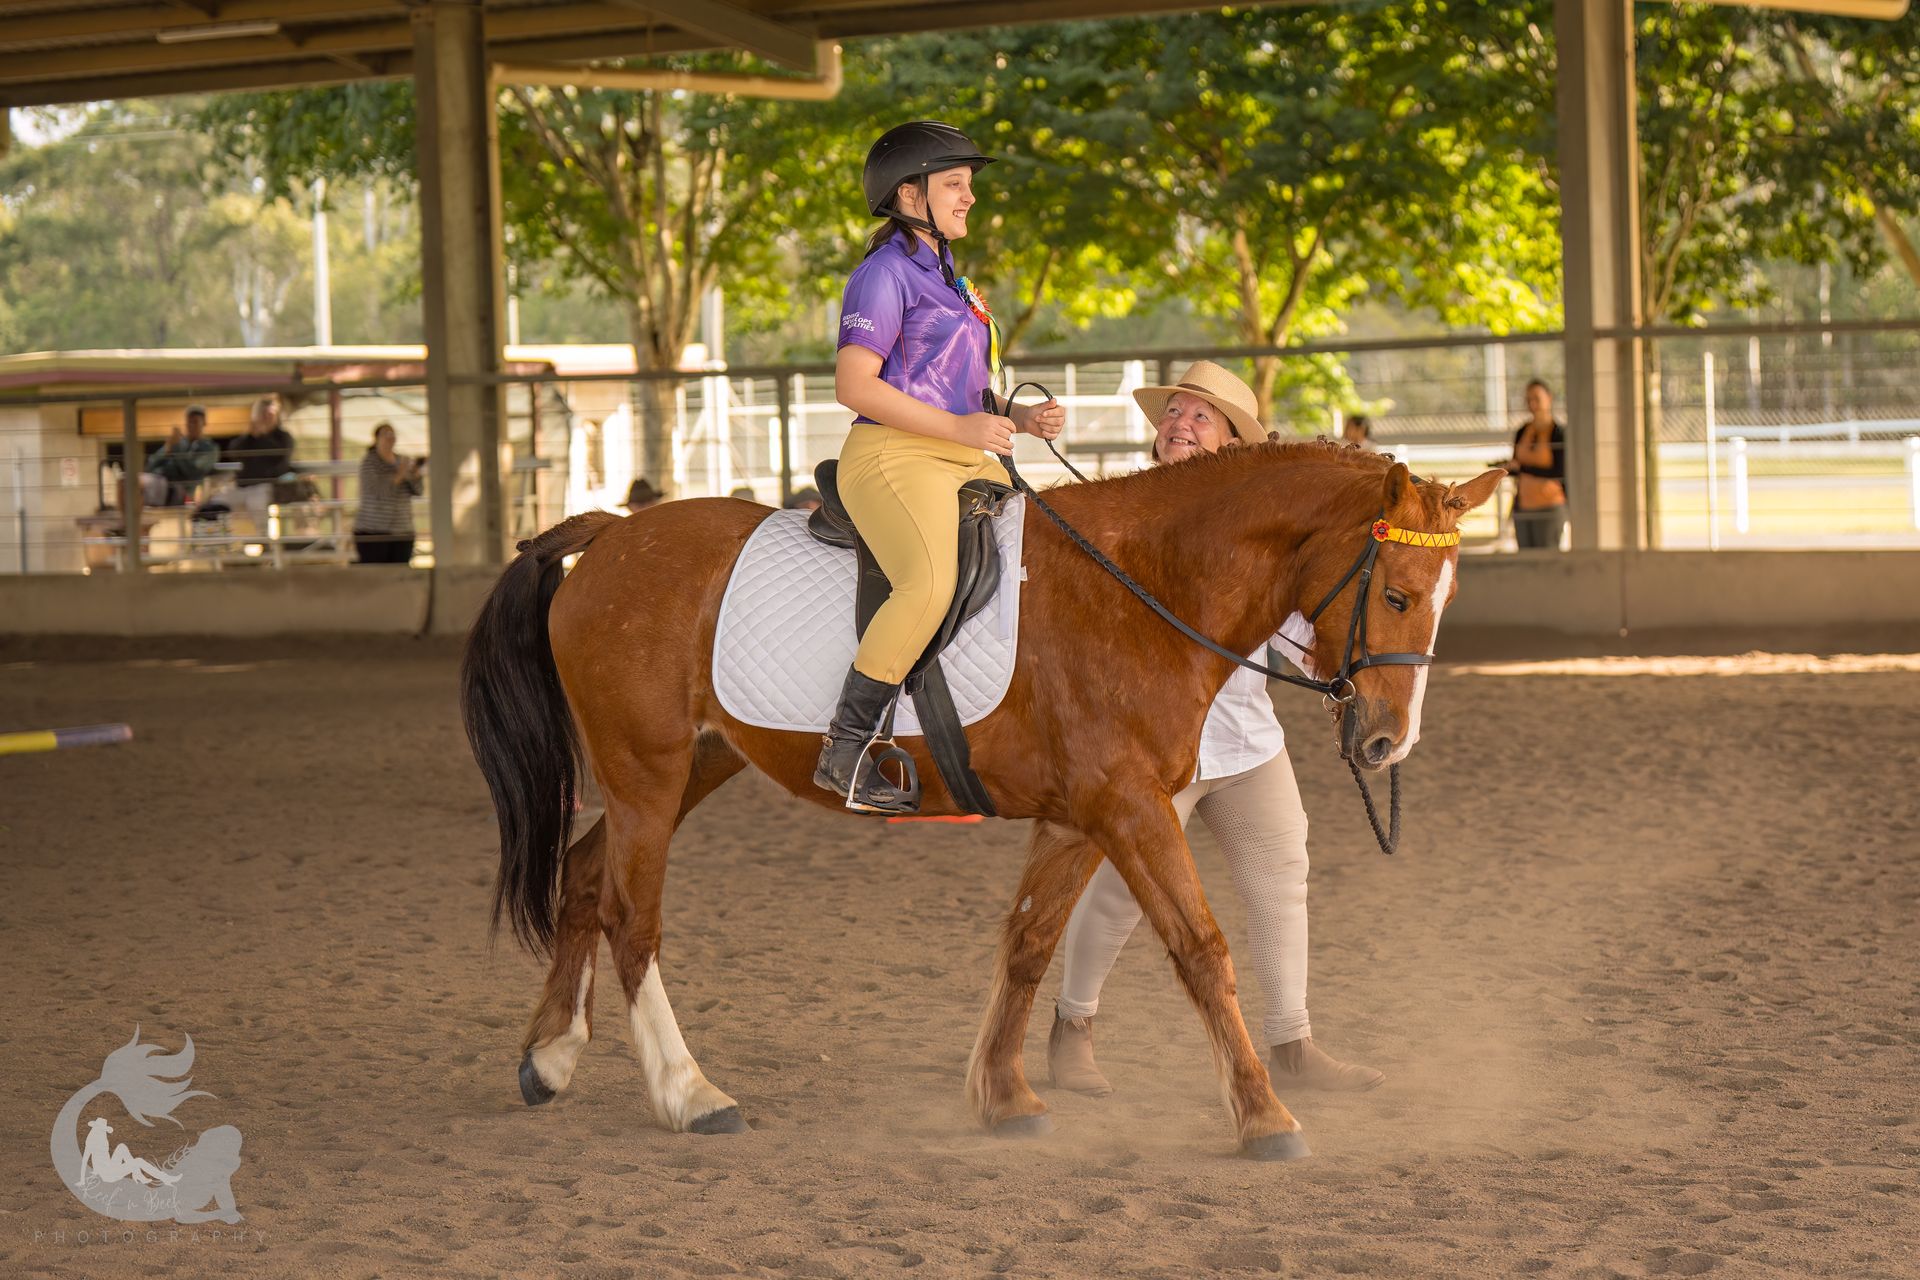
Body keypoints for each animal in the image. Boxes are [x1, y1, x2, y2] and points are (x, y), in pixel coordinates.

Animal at [461, 440, 1505, 1158]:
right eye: (1399, 596)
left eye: (1447, 597)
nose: (1386, 741)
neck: (1143, 587)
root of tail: (608, 532)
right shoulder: (1130, 807)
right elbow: (1202, 950)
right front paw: (1263, 1116)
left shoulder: (1083, 814)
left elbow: (1032, 940)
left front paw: (1003, 1097)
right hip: (647, 773)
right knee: (632, 917)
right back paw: (690, 1093)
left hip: (694, 766)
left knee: (583, 876)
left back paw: (550, 1057)